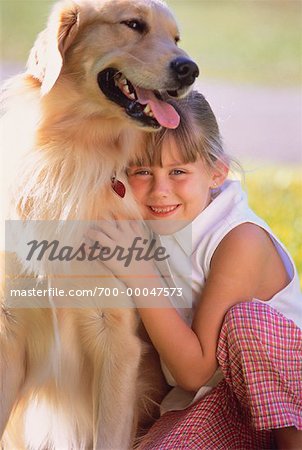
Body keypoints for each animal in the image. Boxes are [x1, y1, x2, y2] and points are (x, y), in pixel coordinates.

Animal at [0, 0, 198, 448]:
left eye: (176, 38)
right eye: (133, 24)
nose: (190, 69)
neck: (72, 154)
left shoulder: (117, 340)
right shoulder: (10, 330)